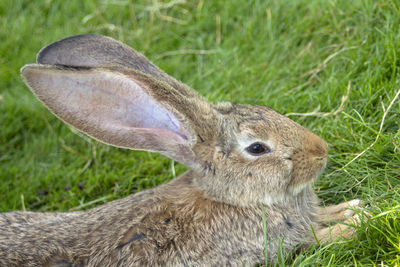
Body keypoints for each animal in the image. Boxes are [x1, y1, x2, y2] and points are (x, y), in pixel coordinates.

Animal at [0, 34, 364, 266]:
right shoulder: (274, 250)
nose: (321, 152)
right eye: (257, 148)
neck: (233, 200)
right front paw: (357, 222)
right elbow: (317, 241)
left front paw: (351, 208)